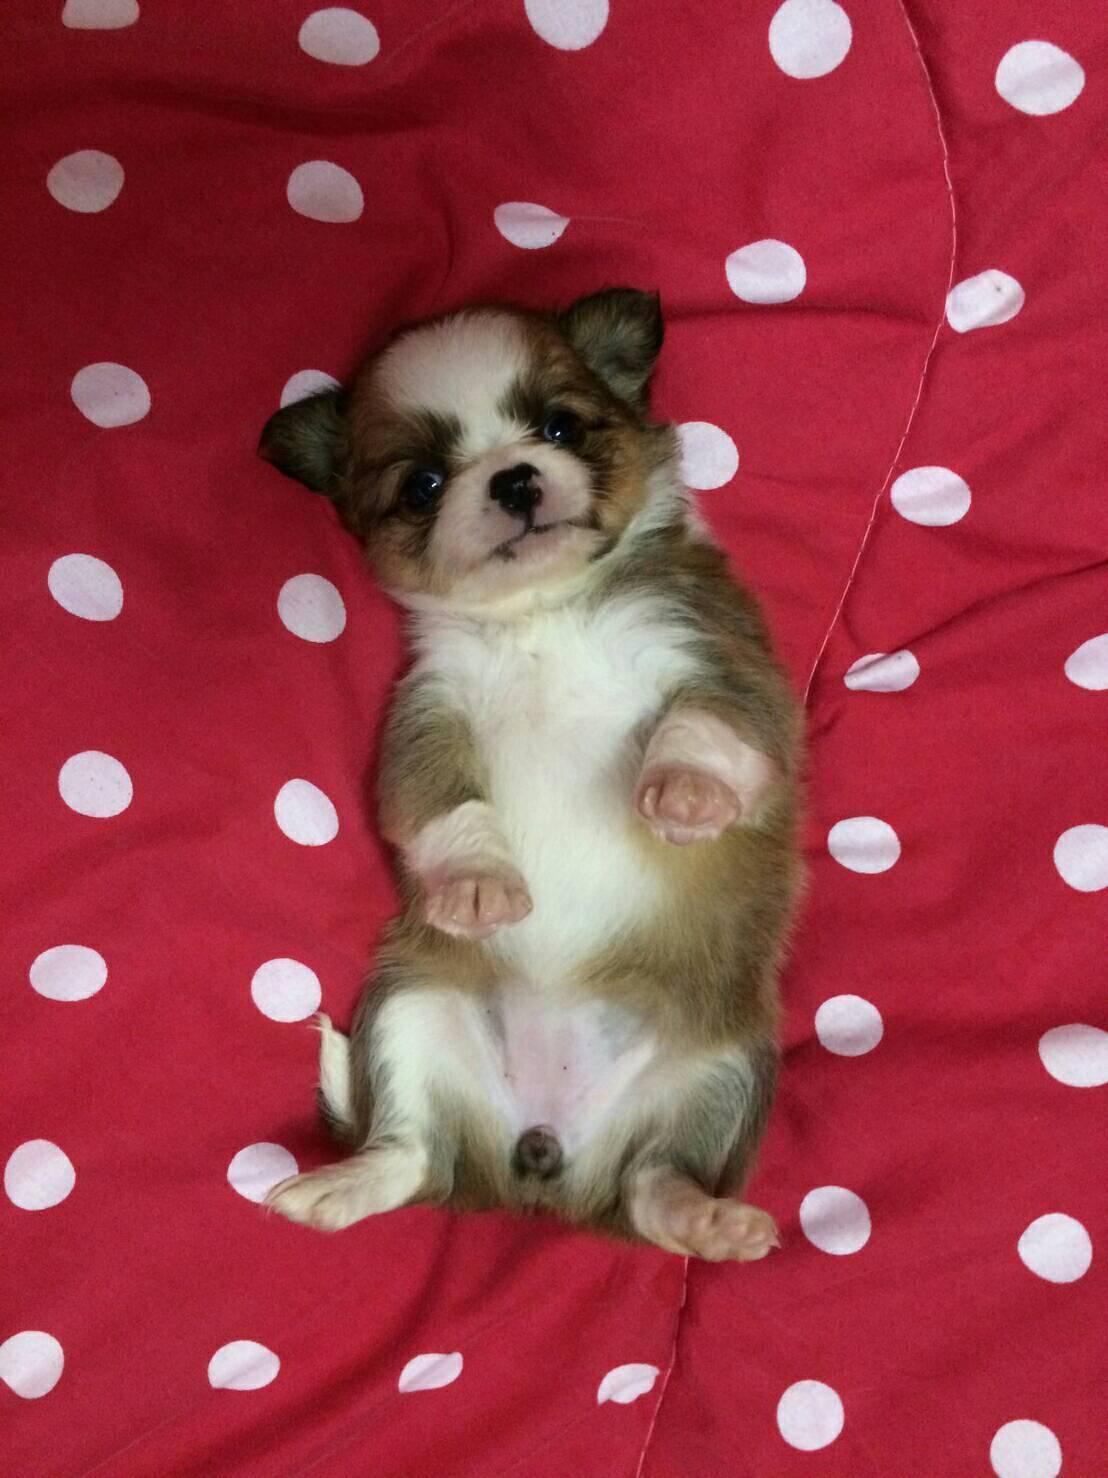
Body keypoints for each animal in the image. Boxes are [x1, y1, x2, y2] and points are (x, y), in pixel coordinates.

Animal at [258, 289, 802, 1261]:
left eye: (560, 425)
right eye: (423, 485)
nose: (512, 479)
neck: (543, 615)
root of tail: (544, 1162)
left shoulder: (723, 664)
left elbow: (705, 728)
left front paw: (687, 793)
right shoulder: (427, 719)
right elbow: (445, 810)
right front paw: (480, 886)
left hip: (725, 1071)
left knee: (653, 1186)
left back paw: (707, 1219)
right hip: (407, 1015)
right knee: (410, 1158)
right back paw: (340, 1186)